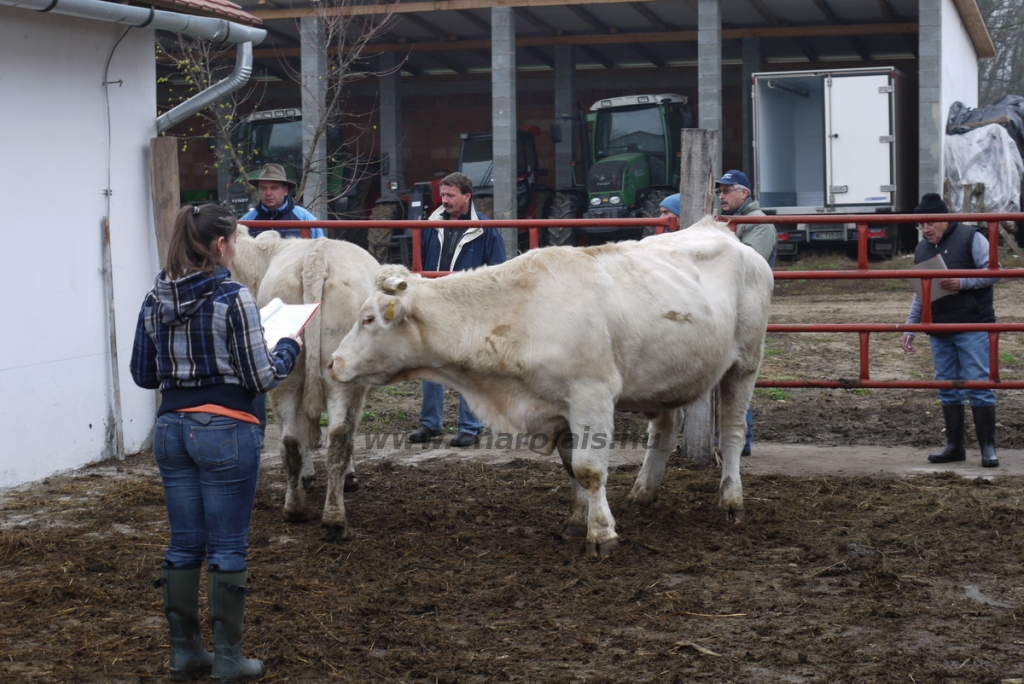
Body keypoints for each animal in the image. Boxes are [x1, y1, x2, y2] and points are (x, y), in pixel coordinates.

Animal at [232, 229, 380, 540]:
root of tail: (316, 257)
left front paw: (308, 477)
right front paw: (349, 477)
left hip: (285, 379)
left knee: (290, 441)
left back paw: (295, 508)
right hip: (342, 378)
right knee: (338, 439)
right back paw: (335, 519)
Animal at [331, 219, 770, 557]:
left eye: (367, 319)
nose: (333, 363)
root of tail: (718, 228)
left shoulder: (591, 397)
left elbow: (589, 469)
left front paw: (601, 534)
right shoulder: (557, 407)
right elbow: (571, 467)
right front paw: (577, 522)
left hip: (744, 364)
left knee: (733, 432)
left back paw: (731, 501)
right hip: (667, 376)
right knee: (663, 430)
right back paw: (644, 492)